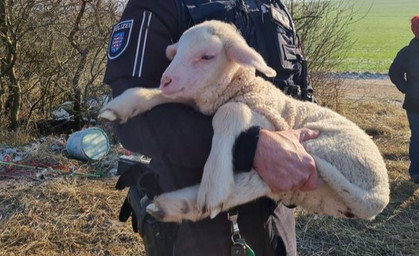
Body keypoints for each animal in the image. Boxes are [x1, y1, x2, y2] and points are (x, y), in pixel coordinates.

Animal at [101, 20, 390, 222]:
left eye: (207, 56)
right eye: (177, 52)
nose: (167, 79)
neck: (240, 87)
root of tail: (377, 196)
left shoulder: (269, 120)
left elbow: (229, 112)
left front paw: (215, 182)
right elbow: (157, 95)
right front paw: (120, 106)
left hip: (327, 150)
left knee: (255, 180)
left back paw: (198, 197)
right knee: (258, 183)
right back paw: (177, 206)